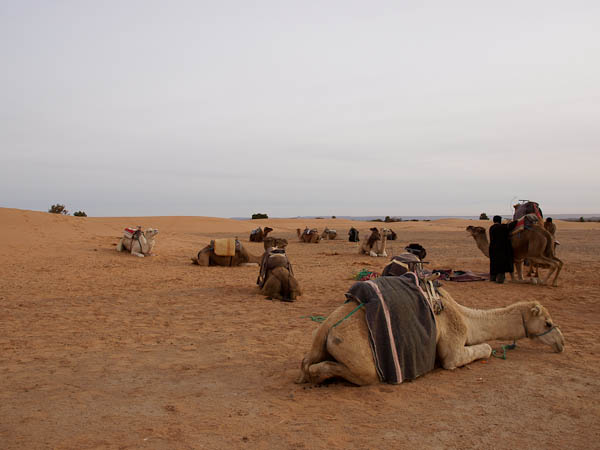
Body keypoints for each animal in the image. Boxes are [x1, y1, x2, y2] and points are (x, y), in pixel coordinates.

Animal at [298, 288, 564, 386]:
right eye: (548, 323)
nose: (562, 343)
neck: (467, 318)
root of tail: (326, 328)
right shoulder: (453, 349)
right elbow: (485, 348)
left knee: (306, 362)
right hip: (362, 360)